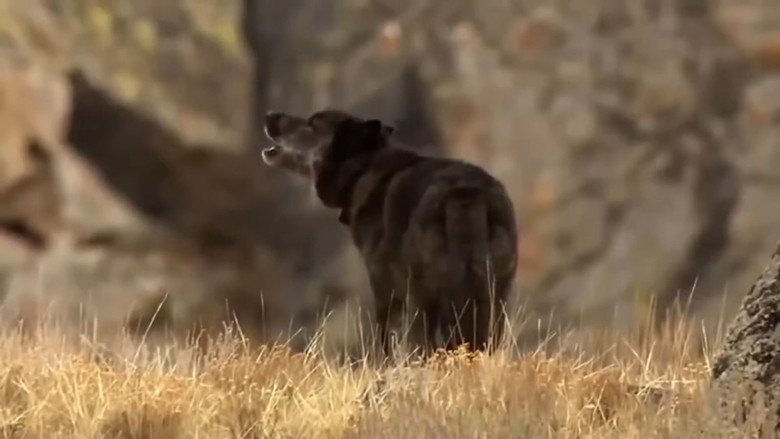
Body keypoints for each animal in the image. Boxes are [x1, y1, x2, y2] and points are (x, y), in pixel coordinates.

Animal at [261, 109, 518, 355]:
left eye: (313, 123)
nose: (269, 115)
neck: (363, 168)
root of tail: (464, 193)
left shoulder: (385, 292)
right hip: (493, 301)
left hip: (423, 301)